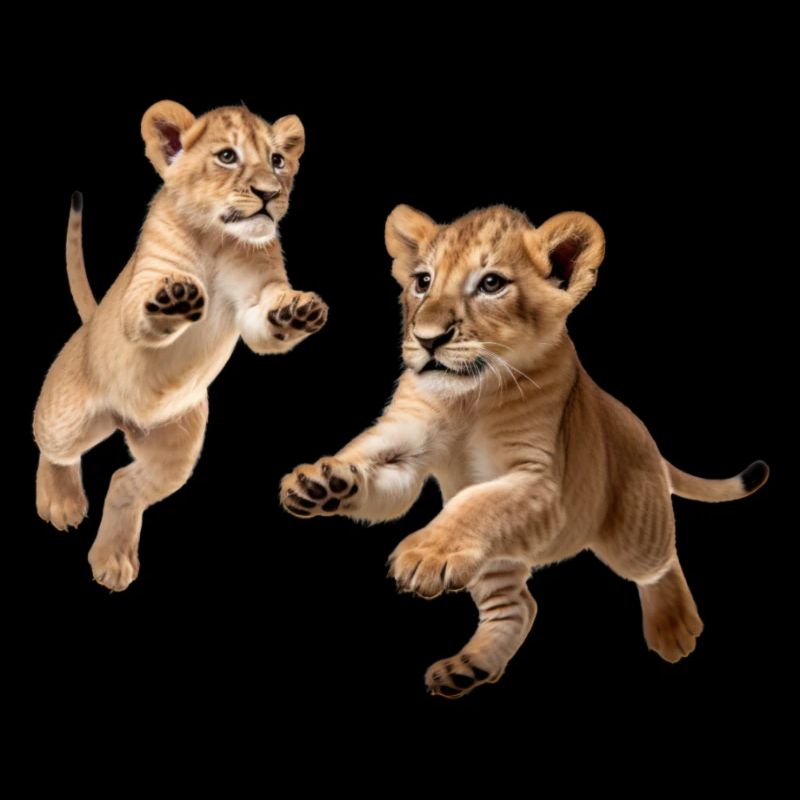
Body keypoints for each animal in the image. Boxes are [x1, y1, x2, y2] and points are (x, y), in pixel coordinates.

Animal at [34, 101, 327, 591]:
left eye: (277, 161)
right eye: (227, 157)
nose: (269, 193)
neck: (217, 237)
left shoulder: (254, 296)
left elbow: (265, 320)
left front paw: (297, 311)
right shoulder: (145, 281)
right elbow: (144, 311)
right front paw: (176, 298)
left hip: (176, 448)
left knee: (124, 482)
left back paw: (112, 559)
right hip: (68, 416)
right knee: (54, 448)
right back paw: (61, 502)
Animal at [280, 204, 768, 698]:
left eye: (491, 284)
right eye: (422, 281)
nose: (427, 338)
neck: (468, 398)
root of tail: (642, 431)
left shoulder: (541, 481)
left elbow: (473, 502)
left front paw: (424, 554)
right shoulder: (408, 441)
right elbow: (376, 467)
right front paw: (320, 483)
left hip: (633, 527)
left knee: (662, 560)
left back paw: (675, 628)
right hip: (495, 560)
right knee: (519, 605)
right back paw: (468, 668)